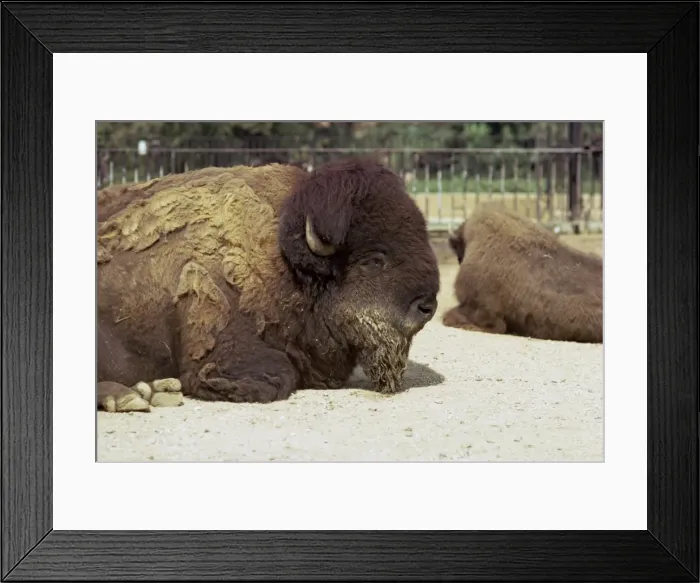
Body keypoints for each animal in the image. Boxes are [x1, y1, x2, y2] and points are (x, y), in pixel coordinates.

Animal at [97, 159, 440, 411]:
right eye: (374, 260)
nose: (427, 306)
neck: (283, 261)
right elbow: (276, 376)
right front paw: (221, 385)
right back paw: (133, 396)